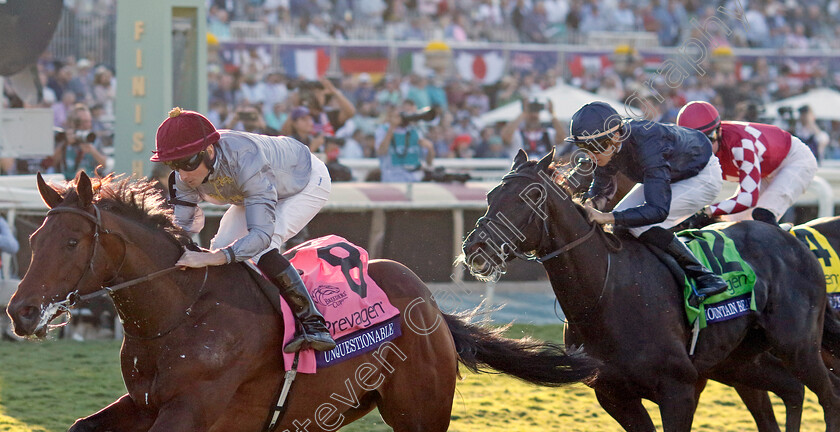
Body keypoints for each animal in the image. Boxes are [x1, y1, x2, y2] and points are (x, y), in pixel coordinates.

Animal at [6, 172, 596, 432]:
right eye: (33, 238)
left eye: (71, 242)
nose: (21, 312)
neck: (179, 315)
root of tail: (427, 302)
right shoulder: (146, 402)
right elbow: (83, 426)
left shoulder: (191, 409)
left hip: (420, 409)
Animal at [462, 149, 840, 432]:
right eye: (491, 195)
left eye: (532, 196)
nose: (474, 247)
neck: (607, 295)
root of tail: (792, 240)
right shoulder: (615, 395)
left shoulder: (679, 390)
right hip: (739, 360)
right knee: (792, 390)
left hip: (798, 346)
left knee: (828, 395)